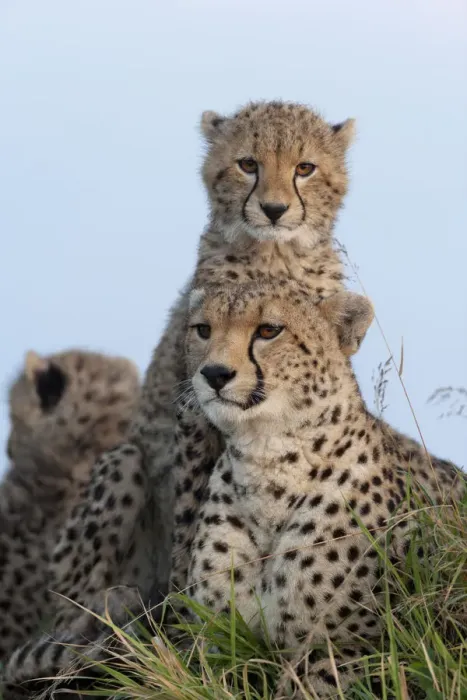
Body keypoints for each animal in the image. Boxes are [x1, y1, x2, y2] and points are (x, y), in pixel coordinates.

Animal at [184, 281, 465, 698]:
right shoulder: (218, 644)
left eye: (269, 330)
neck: (267, 461)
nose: (215, 373)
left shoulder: (357, 646)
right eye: (203, 329)